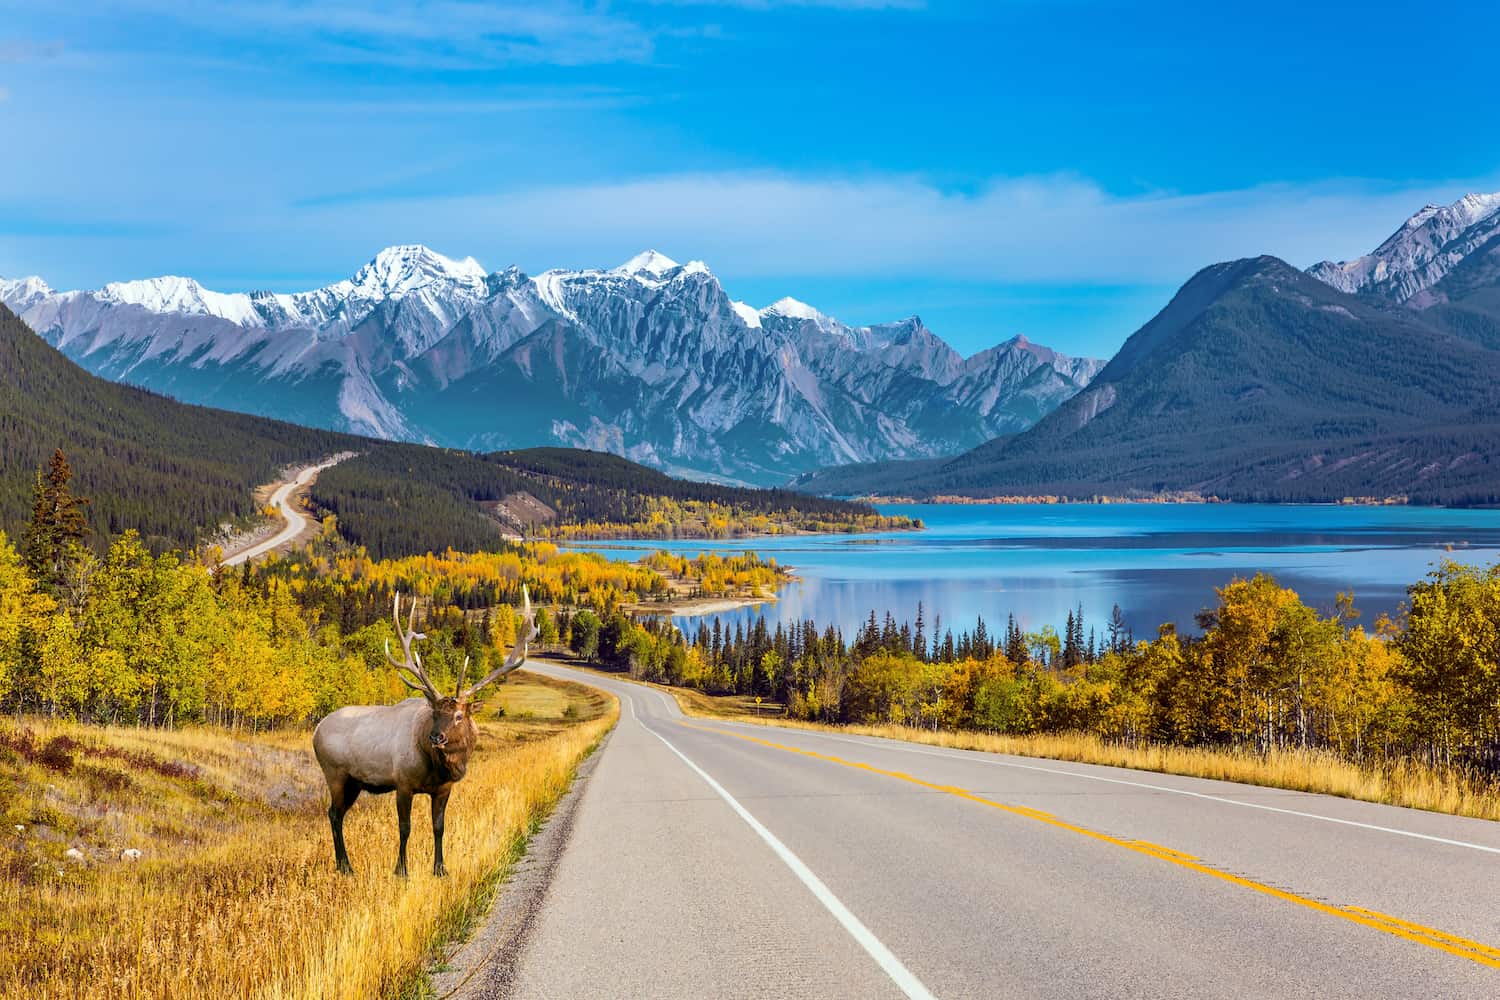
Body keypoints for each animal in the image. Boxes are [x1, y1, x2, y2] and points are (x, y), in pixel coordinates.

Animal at [312, 588, 539, 877]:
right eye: (434, 714)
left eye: (458, 716)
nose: (436, 737)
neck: (435, 768)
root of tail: (316, 730)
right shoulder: (403, 783)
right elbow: (405, 828)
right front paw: (401, 870)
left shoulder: (443, 789)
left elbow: (439, 827)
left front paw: (440, 868)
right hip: (335, 773)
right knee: (333, 814)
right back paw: (346, 866)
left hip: (354, 782)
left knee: (337, 814)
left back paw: (343, 866)